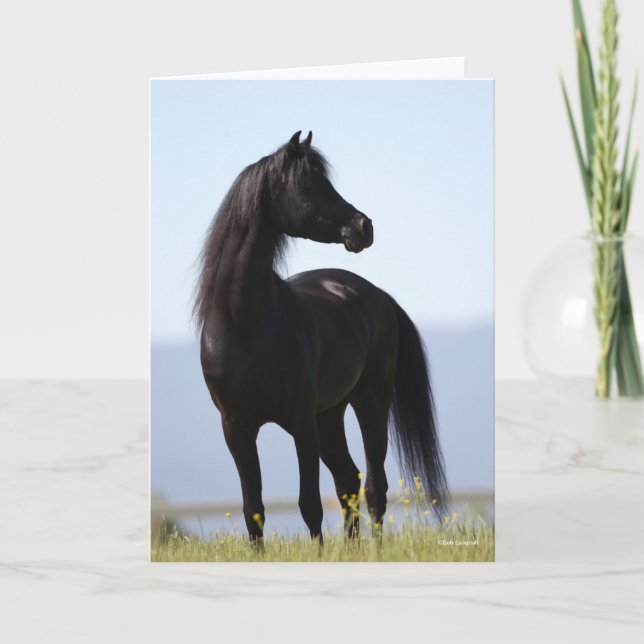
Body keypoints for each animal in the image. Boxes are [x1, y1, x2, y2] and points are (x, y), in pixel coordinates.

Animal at [195, 131, 448, 545]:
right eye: (307, 184)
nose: (364, 227)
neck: (244, 324)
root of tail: (376, 294)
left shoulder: (300, 421)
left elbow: (309, 505)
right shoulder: (236, 427)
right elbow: (253, 511)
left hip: (370, 402)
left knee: (374, 487)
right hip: (330, 415)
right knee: (349, 480)